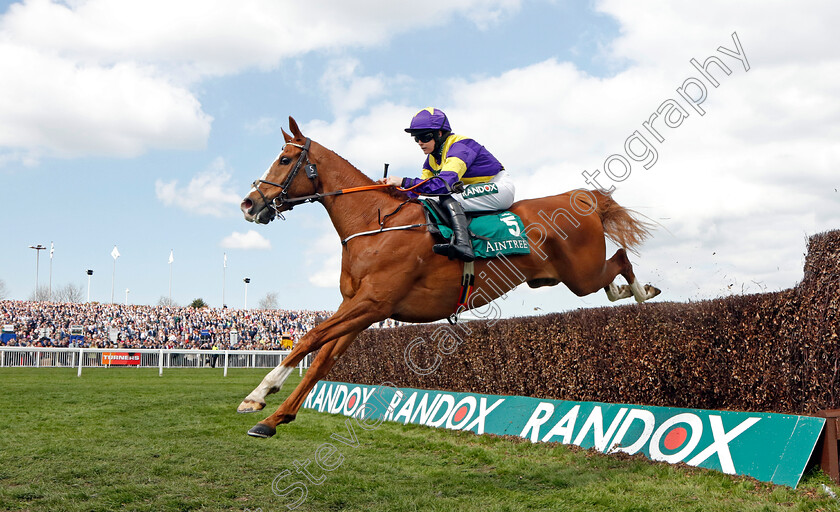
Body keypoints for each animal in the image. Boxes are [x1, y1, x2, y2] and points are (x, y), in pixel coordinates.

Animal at [240, 116, 660, 436]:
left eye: (284, 159)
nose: (248, 203)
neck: (375, 224)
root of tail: (583, 197)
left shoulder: (373, 303)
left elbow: (308, 338)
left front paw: (259, 394)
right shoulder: (360, 308)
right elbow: (321, 360)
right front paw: (274, 418)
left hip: (581, 274)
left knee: (621, 258)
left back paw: (642, 292)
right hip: (566, 277)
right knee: (612, 272)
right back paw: (633, 291)